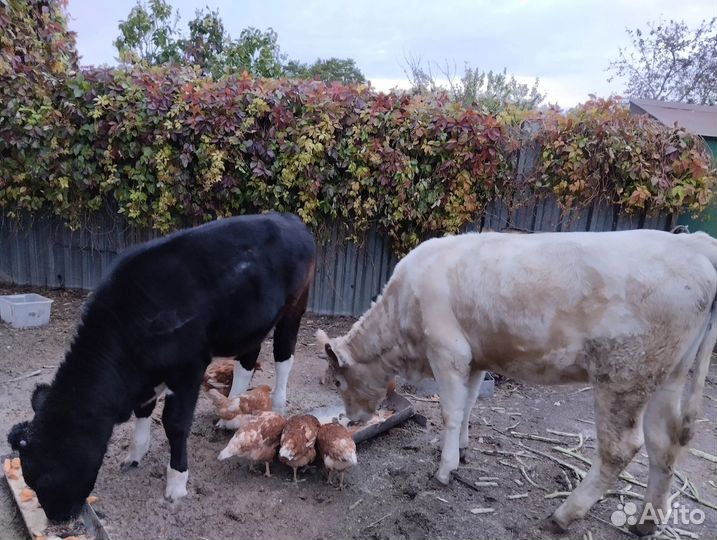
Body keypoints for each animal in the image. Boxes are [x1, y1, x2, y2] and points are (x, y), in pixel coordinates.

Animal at [7, 212, 316, 522]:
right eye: (29, 479)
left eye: (48, 473)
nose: (57, 517)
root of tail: (288, 218)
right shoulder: (145, 374)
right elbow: (143, 410)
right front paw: (135, 455)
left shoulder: (189, 368)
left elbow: (175, 424)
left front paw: (176, 484)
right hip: (250, 323)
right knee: (248, 360)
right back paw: (230, 416)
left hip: (295, 306)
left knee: (283, 358)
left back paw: (278, 407)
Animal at [317, 229, 717, 535]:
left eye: (336, 382)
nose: (352, 419)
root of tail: (695, 243)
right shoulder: (475, 359)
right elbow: (468, 406)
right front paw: (462, 449)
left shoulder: (448, 353)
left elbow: (450, 413)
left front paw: (445, 470)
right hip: (668, 375)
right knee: (663, 442)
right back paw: (646, 521)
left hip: (623, 376)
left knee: (619, 449)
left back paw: (564, 515)